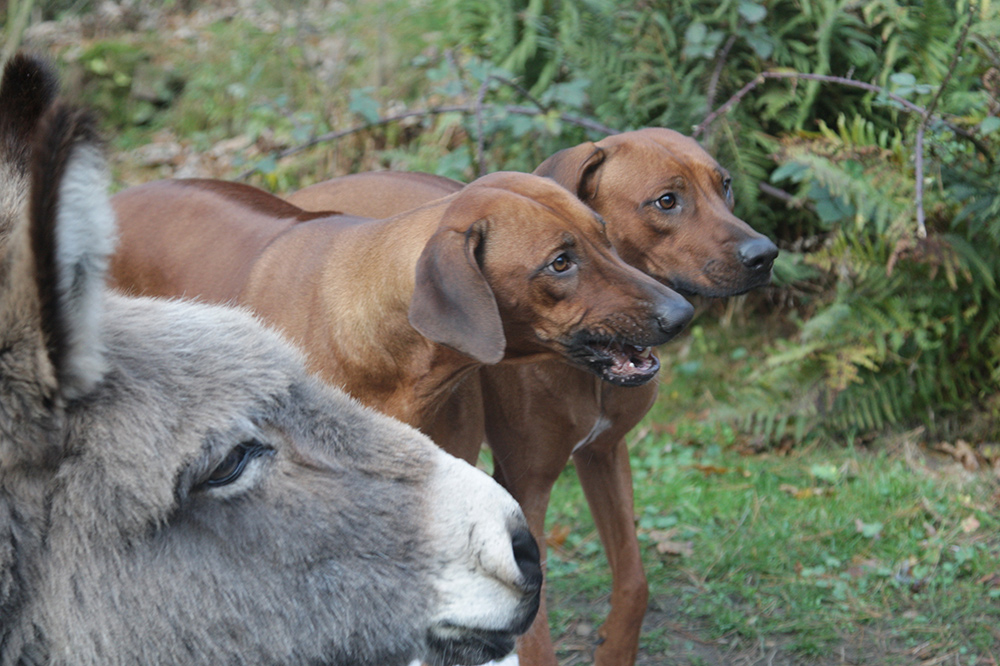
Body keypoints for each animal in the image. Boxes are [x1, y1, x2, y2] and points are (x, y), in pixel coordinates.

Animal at [286, 127, 776, 660]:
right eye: (667, 201)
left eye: (725, 184)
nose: (765, 254)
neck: (589, 366)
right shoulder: (526, 484)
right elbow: (535, 629)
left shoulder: (605, 453)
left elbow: (634, 581)